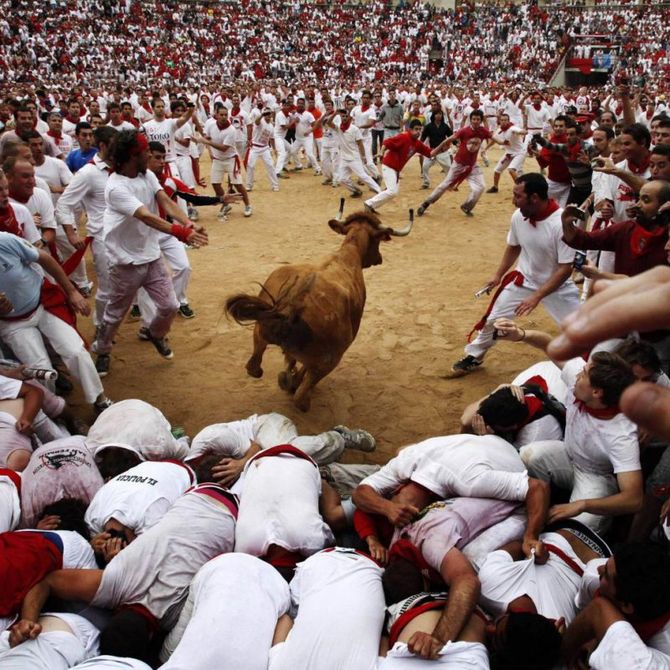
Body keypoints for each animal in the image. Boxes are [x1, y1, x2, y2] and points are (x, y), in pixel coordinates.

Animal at [227, 200, 414, 412]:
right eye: (379, 241)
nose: (379, 259)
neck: (347, 254)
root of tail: (294, 305)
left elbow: (289, 360)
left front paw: (288, 377)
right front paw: (293, 381)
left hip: (260, 329)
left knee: (255, 365)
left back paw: (281, 377)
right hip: (331, 359)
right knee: (302, 393)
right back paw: (301, 394)